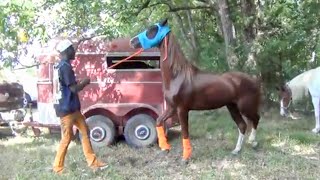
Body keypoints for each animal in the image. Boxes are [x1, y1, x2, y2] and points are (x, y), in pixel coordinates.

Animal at [130, 19, 262, 162]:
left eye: (151, 30)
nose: (132, 41)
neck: (177, 76)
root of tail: (254, 80)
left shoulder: (182, 110)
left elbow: (185, 133)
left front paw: (185, 158)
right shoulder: (171, 108)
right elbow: (159, 121)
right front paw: (165, 148)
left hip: (245, 107)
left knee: (255, 118)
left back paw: (253, 142)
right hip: (232, 107)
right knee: (242, 125)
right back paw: (237, 150)